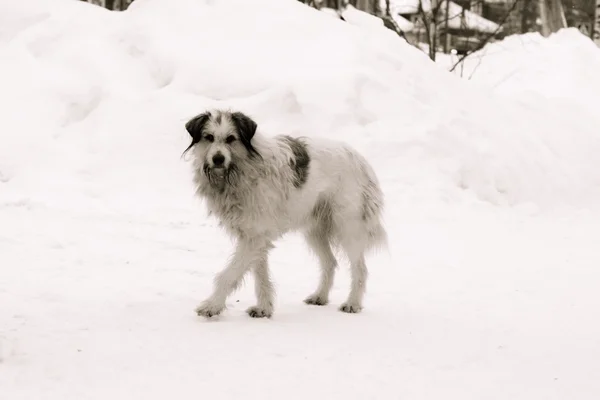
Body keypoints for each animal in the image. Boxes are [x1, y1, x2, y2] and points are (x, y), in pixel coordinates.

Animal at [184, 108, 390, 318]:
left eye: (231, 138)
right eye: (209, 137)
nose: (218, 159)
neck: (241, 170)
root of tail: (359, 158)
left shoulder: (254, 237)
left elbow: (230, 274)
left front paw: (212, 306)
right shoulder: (256, 234)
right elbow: (260, 274)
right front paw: (264, 308)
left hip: (348, 225)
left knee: (360, 268)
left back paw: (353, 303)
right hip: (315, 229)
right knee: (330, 262)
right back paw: (320, 296)